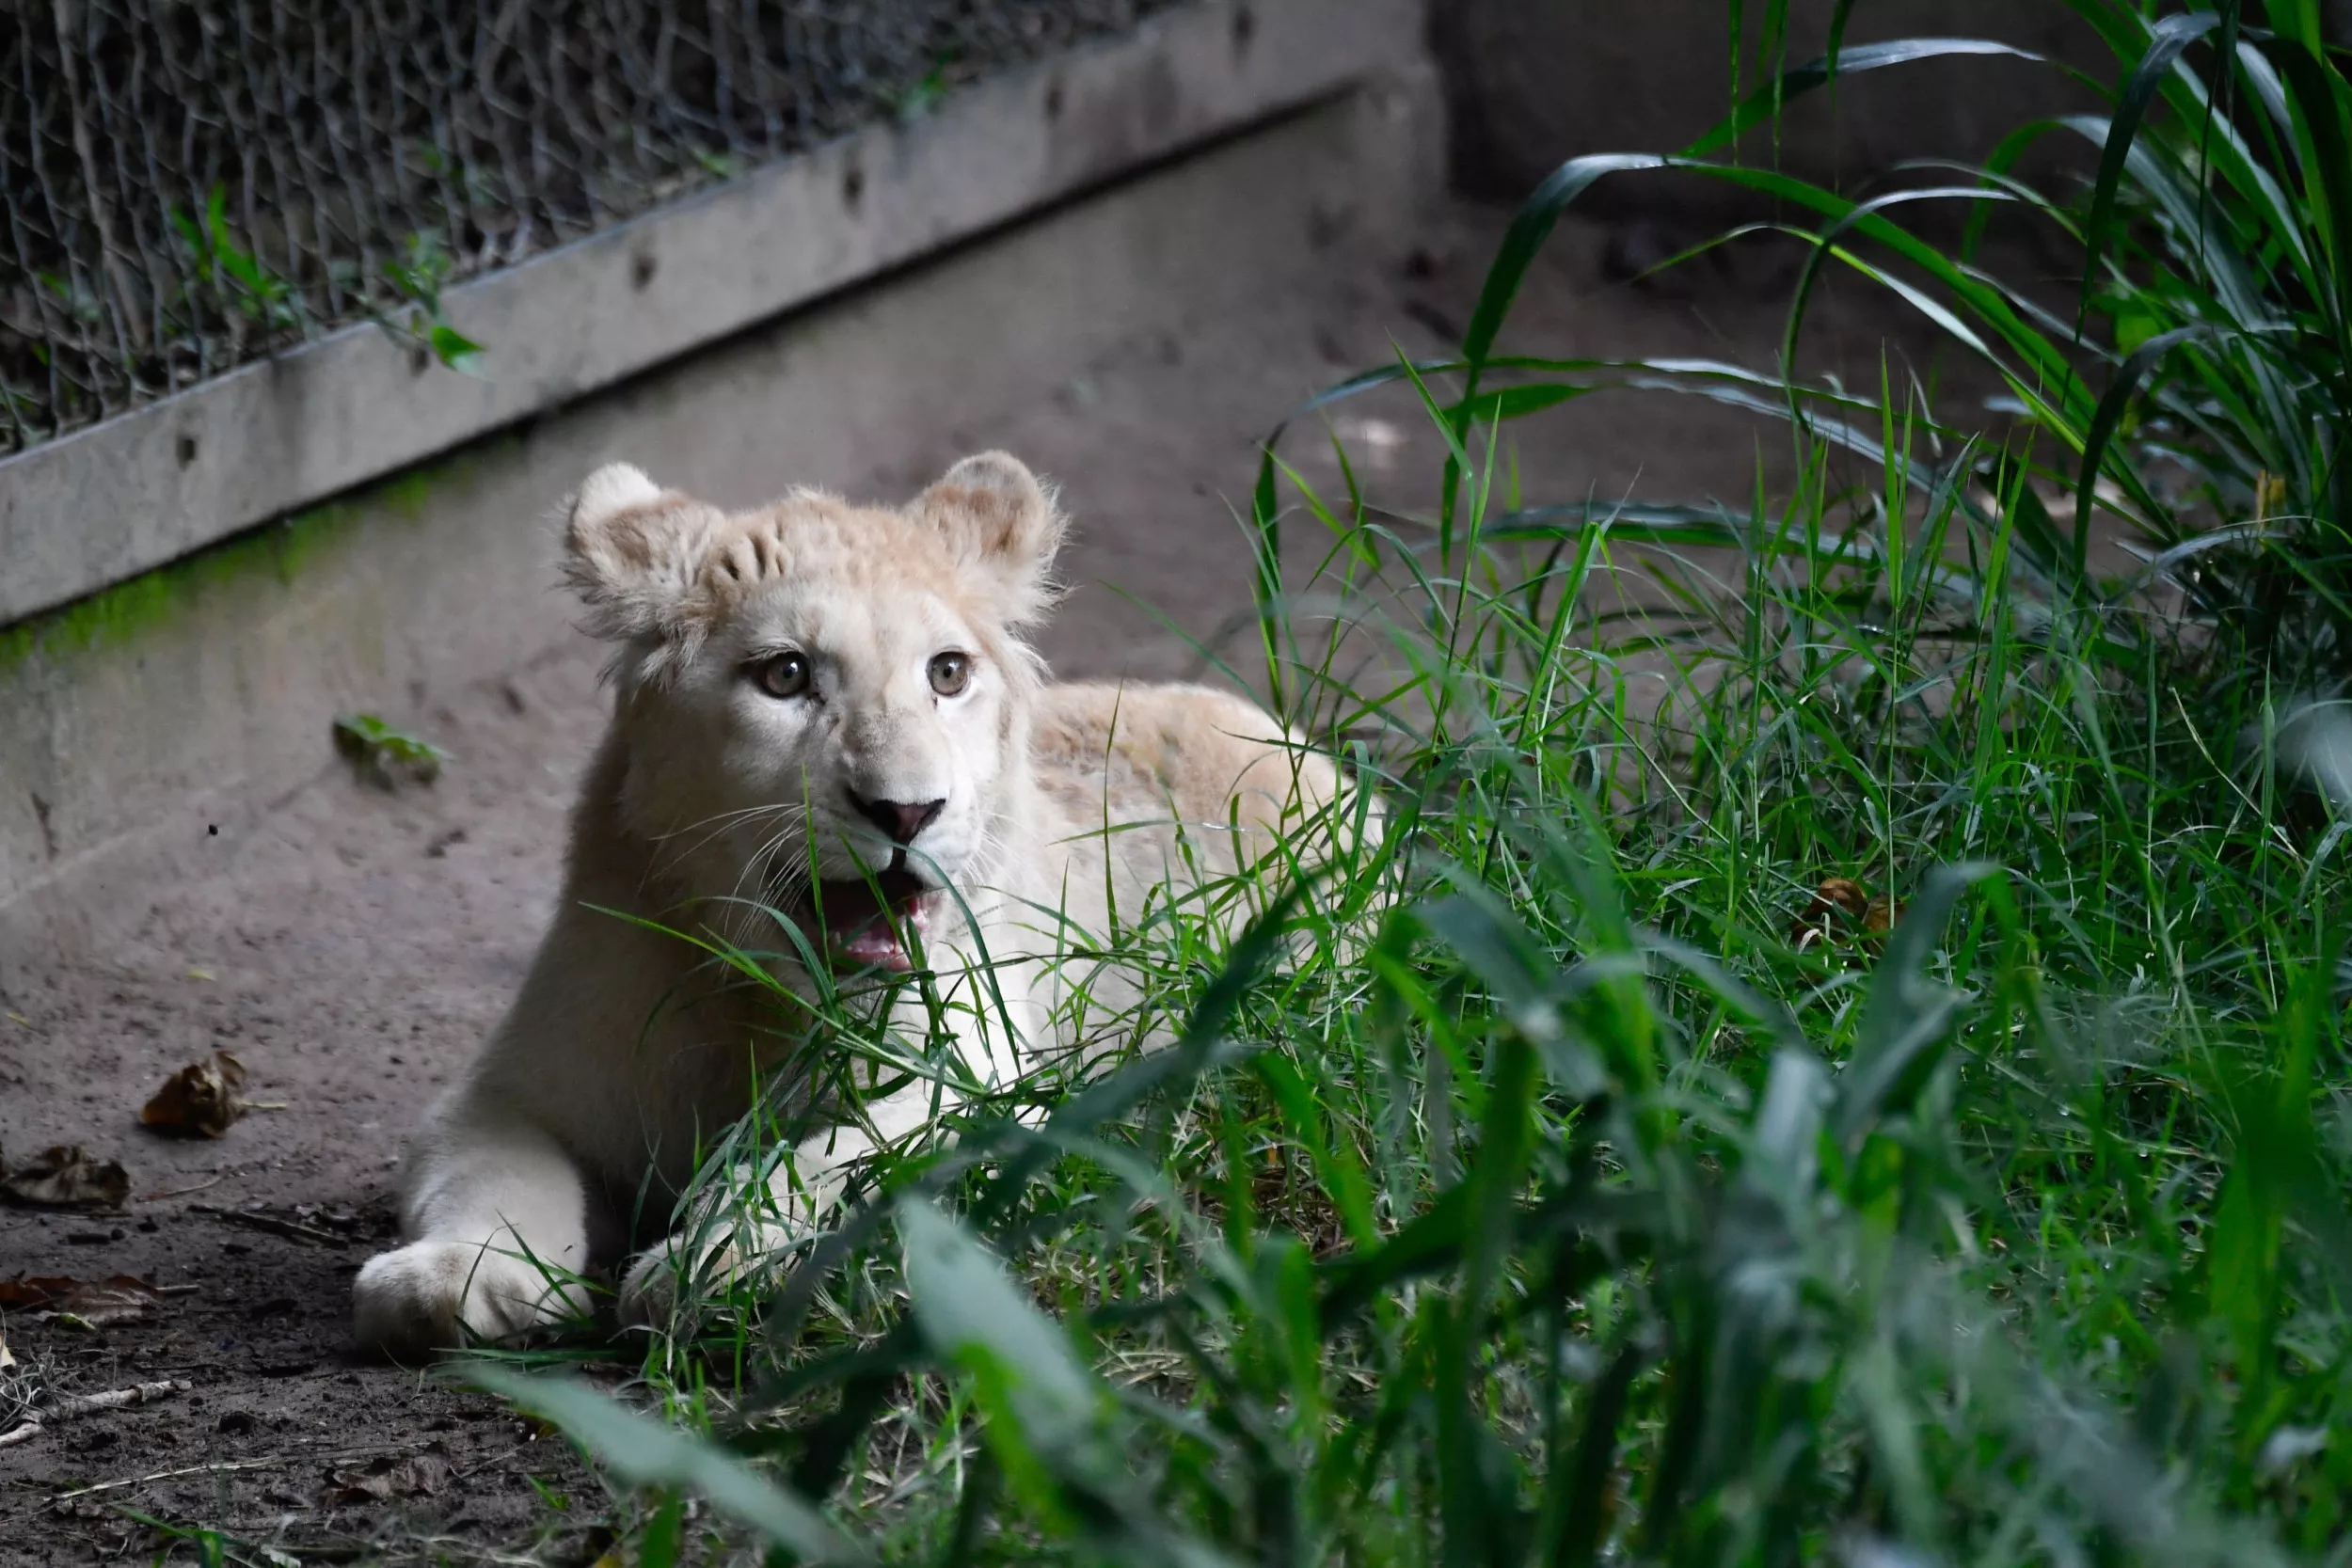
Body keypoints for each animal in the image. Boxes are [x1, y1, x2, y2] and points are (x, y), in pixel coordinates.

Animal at [351, 452, 1363, 1356]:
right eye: (786, 674)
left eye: (947, 673)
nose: (907, 810)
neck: (757, 997)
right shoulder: (515, 1085)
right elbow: (488, 1174)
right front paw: (457, 1279)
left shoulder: (975, 1073)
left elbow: (837, 1156)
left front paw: (709, 1262)